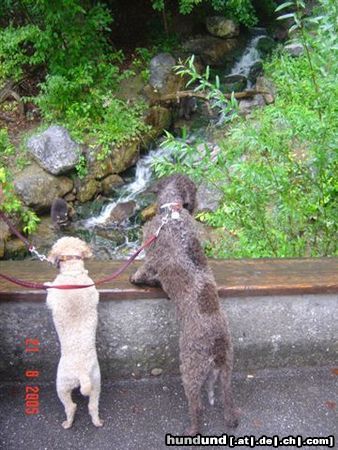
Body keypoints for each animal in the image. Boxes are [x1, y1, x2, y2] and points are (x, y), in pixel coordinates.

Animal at [45, 236, 103, 428]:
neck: (73, 272)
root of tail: (82, 373)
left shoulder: (52, 296)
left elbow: (49, 291)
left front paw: (46, 283)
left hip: (61, 384)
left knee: (71, 406)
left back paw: (67, 423)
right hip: (96, 382)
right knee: (92, 406)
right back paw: (98, 422)